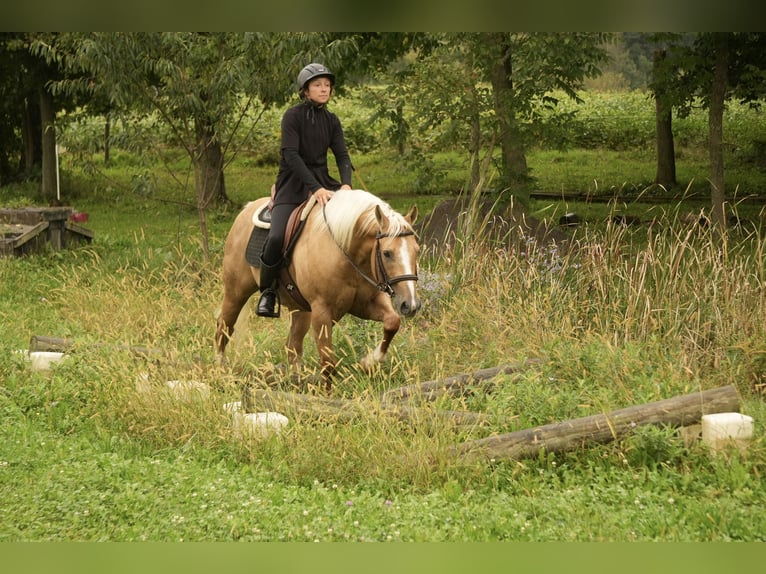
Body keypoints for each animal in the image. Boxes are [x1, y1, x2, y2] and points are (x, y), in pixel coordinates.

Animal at [215, 188, 421, 388]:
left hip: (301, 310)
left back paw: (296, 382)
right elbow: (328, 363)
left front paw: (369, 362)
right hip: (235, 294)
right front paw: (328, 394)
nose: (410, 305)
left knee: (293, 346)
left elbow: (392, 322)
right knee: (223, 329)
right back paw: (221, 372)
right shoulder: (322, 312)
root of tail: (247, 210)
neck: (344, 252)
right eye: (387, 253)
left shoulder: (365, 304)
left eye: (417, 251)